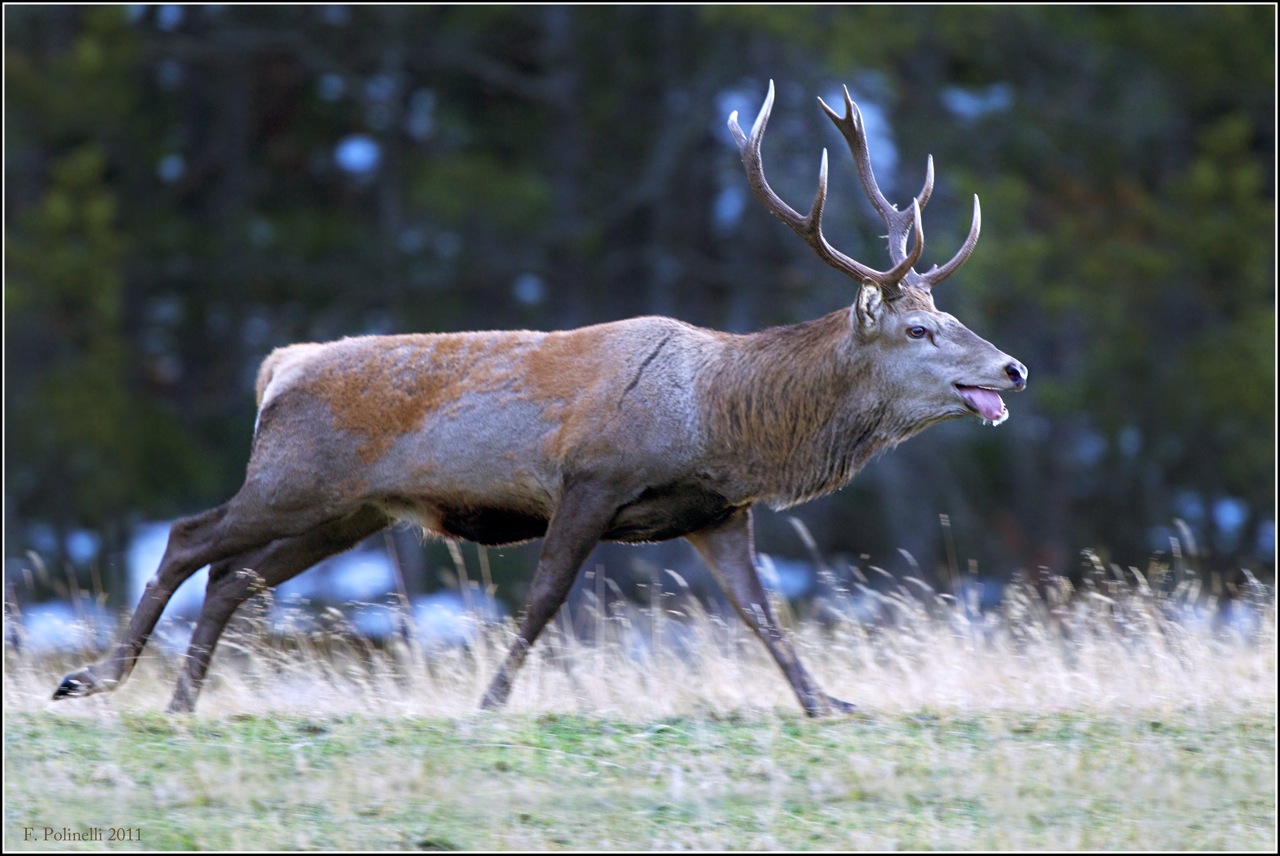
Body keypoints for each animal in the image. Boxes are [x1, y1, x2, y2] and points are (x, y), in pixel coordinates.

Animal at [55, 83, 1024, 716]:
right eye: (920, 331)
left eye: (952, 317)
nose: (1012, 368)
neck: (720, 419)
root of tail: (279, 368)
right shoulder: (591, 478)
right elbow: (544, 602)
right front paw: (489, 701)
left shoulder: (717, 512)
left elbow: (762, 614)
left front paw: (827, 702)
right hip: (295, 477)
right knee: (189, 538)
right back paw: (94, 678)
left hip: (350, 509)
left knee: (236, 574)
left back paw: (181, 702)